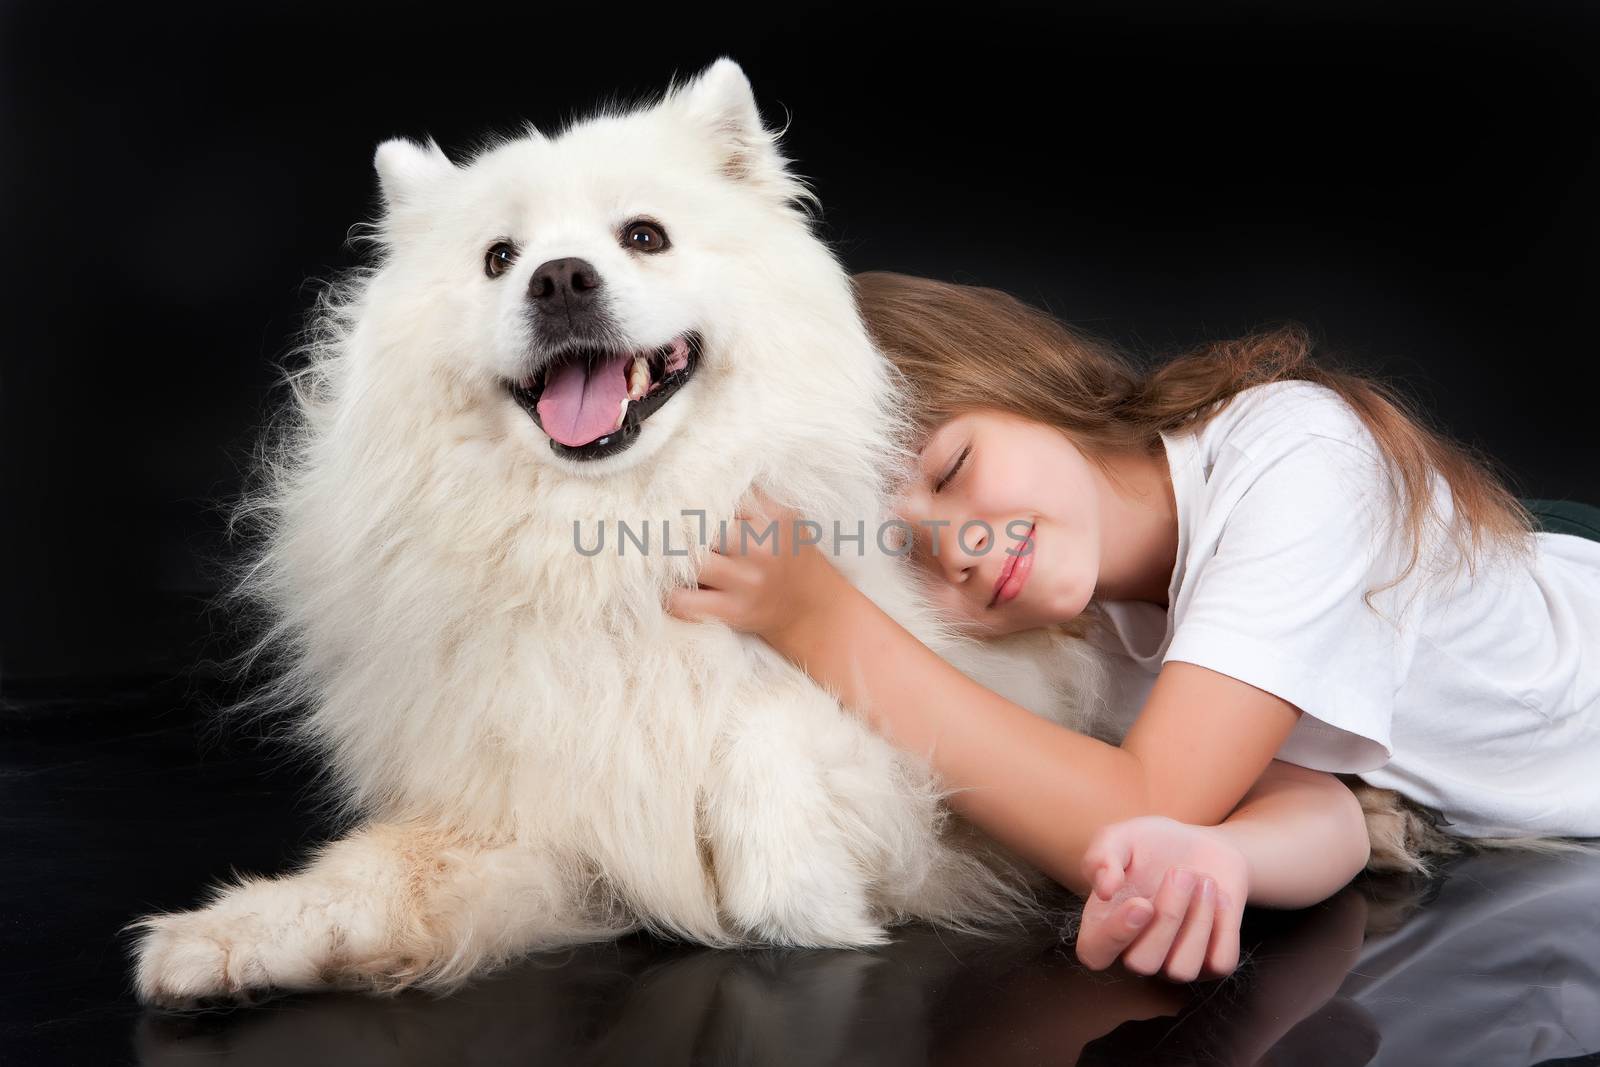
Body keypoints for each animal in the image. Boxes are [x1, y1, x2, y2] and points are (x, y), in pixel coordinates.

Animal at [131, 58, 1107, 1011]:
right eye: (499, 259)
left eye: (644, 236)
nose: (560, 277)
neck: (610, 543)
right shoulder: (547, 819)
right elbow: (373, 876)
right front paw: (214, 941)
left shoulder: (971, 723)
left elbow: (776, 719)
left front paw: (795, 889)